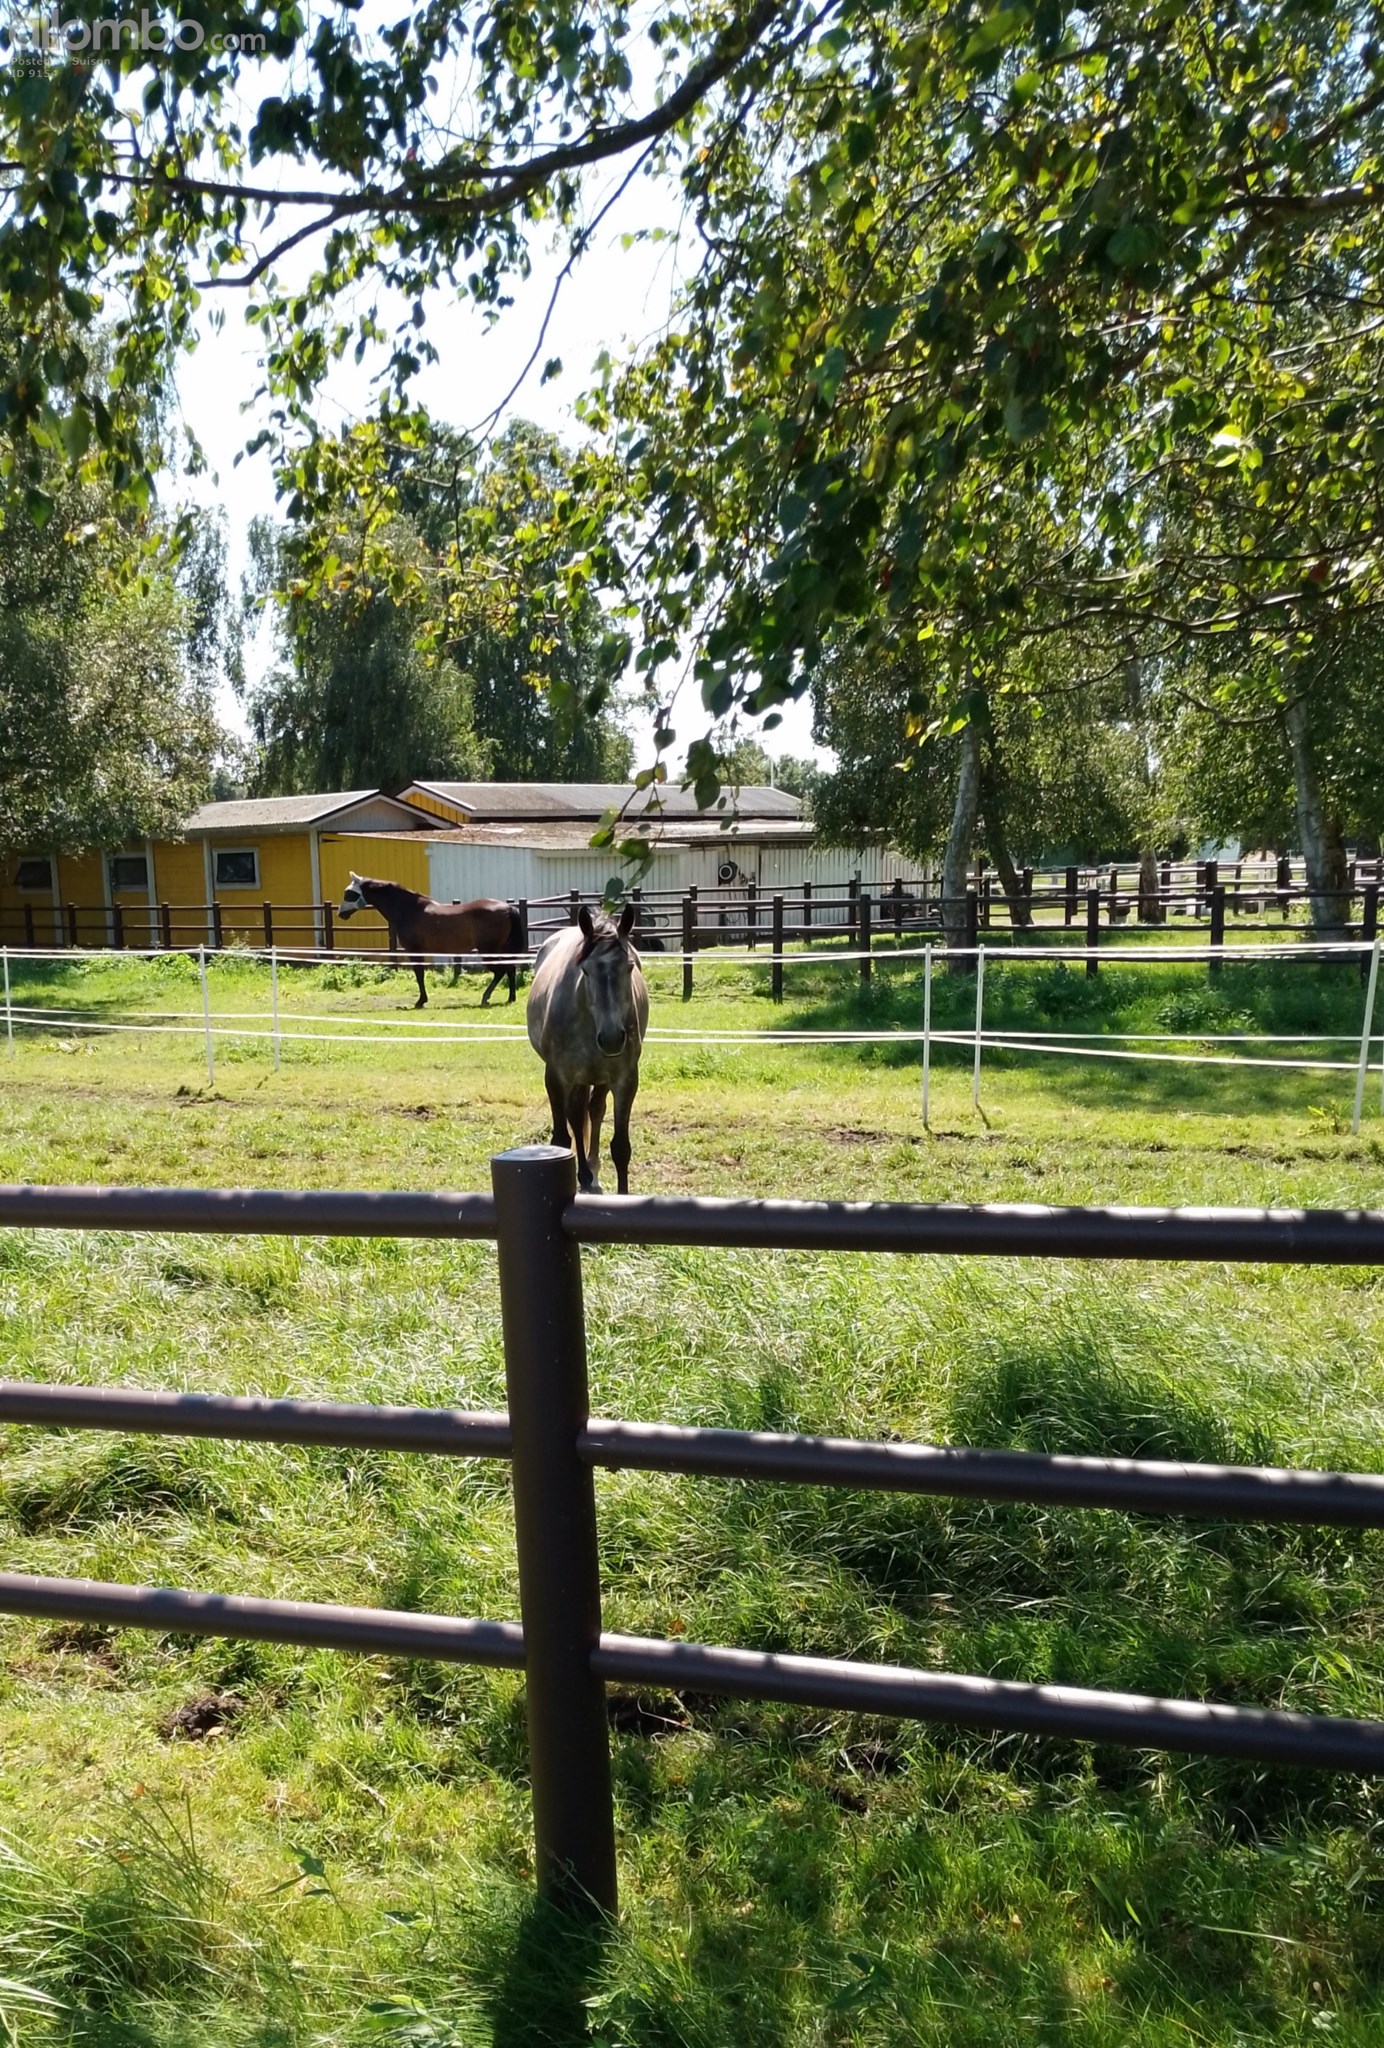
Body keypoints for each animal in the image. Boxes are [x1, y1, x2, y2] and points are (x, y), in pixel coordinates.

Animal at [337, 874, 525, 1007]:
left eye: (349, 893)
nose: (340, 913)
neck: (409, 909)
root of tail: (508, 907)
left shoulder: (414, 950)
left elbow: (419, 974)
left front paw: (420, 1001)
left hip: (488, 951)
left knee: (501, 971)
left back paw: (485, 998)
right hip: (501, 950)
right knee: (510, 969)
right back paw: (510, 998)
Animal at [527, 903, 648, 1193]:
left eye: (629, 967)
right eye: (586, 970)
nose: (612, 1038)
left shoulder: (625, 1079)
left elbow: (621, 1147)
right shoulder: (556, 1077)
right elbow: (561, 1138)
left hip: (598, 1078)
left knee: (593, 1110)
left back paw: (591, 1172)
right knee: (577, 1113)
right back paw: (583, 1175)